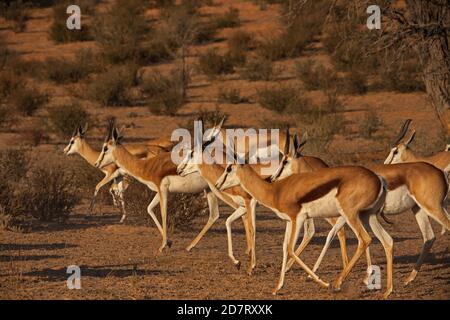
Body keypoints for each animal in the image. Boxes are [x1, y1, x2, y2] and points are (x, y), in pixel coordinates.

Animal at [94, 120, 221, 252]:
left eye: (105, 148)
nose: (97, 163)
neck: (148, 166)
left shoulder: (163, 190)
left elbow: (163, 213)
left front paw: (163, 246)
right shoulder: (159, 191)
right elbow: (149, 209)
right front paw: (169, 242)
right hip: (209, 190)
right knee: (214, 214)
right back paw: (190, 246)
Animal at [216, 134, 392, 298]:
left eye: (229, 168)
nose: (217, 184)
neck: (276, 191)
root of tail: (379, 179)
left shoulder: (298, 219)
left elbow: (291, 248)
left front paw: (322, 282)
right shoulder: (289, 221)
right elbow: (284, 248)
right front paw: (277, 288)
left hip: (351, 215)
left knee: (364, 239)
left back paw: (336, 284)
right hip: (367, 216)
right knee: (387, 241)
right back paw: (386, 291)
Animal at [270, 132, 450, 284]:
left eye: (285, 161)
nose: (272, 178)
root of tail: (440, 172)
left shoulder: (348, 215)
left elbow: (336, 235)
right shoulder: (353, 216)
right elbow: (340, 235)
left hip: (432, 208)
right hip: (419, 210)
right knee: (429, 237)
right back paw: (409, 279)